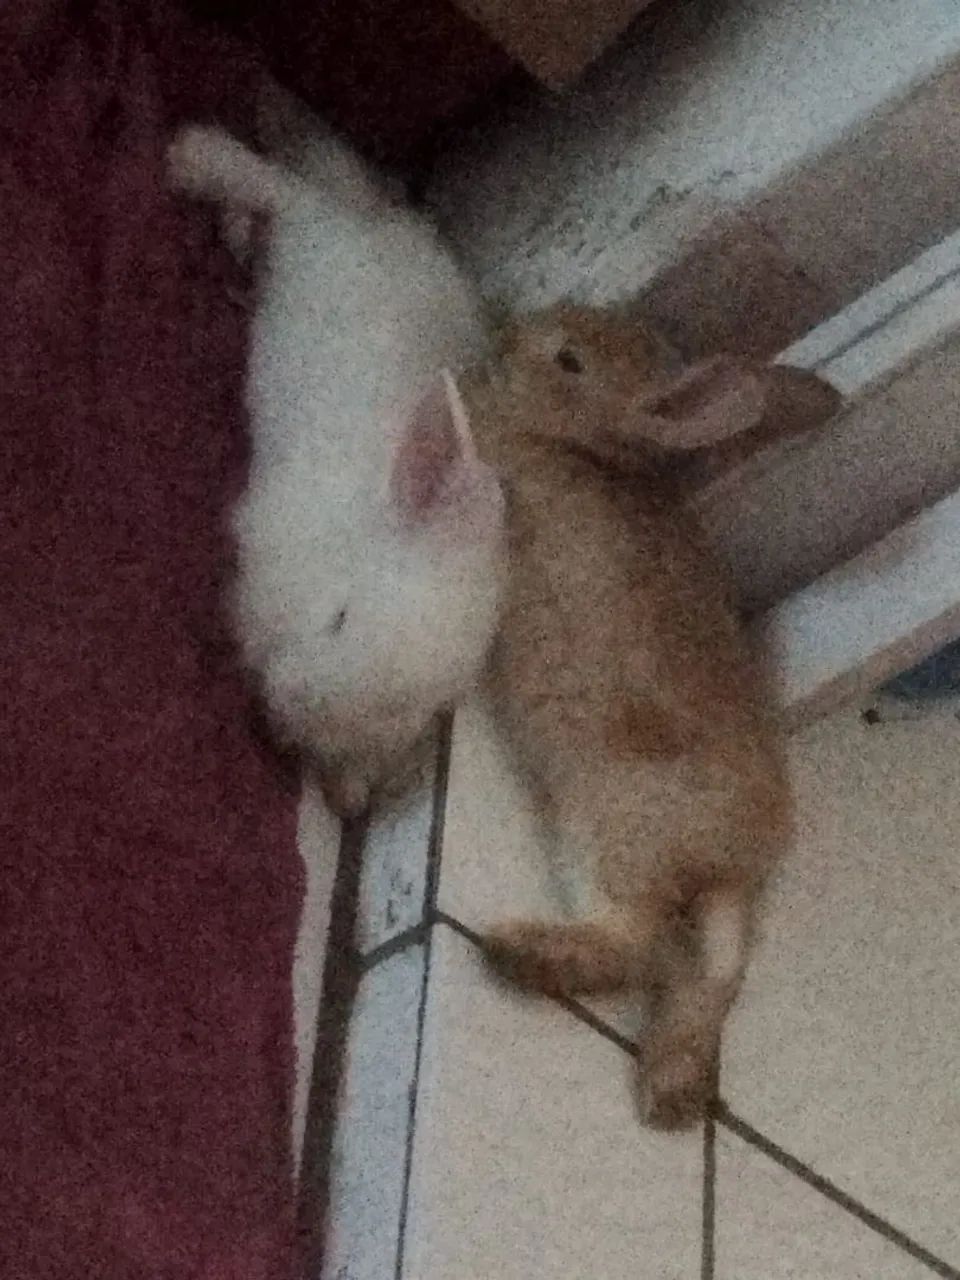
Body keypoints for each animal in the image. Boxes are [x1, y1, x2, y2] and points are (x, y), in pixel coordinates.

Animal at [167, 122, 505, 819]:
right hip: (317, 244)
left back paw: (237, 233)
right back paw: (191, 161)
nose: (292, 702)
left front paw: (350, 785)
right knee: (281, 190)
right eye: (340, 619)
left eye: (409, 713)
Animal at [460, 303, 840, 1129]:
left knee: (633, 942)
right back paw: (670, 1088)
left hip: (606, 827)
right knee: (714, 975)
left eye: (568, 360)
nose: (503, 339)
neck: (577, 446)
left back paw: (515, 949)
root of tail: (736, 862)